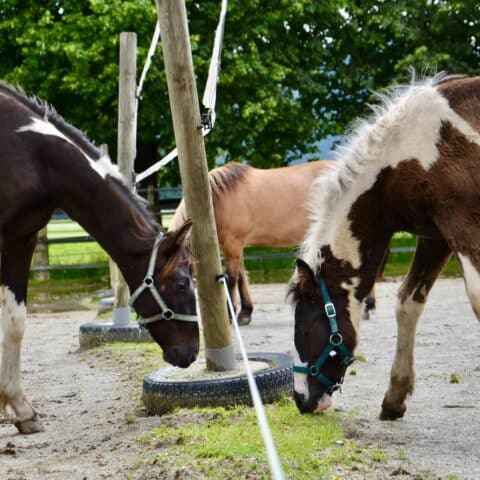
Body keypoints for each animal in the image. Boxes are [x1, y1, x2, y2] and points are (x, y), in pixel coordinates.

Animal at [0, 84, 199, 434]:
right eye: (180, 284)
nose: (192, 352)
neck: (30, 152)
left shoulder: (20, 238)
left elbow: (15, 321)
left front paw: (21, 409)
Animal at [169, 159, 378, 324]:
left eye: (179, 285)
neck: (218, 198)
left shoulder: (232, 244)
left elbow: (232, 278)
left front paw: (231, 316)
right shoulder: (236, 247)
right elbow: (242, 277)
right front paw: (245, 313)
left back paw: (366, 305)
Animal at [288, 75, 480, 420]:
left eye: (306, 330)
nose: (301, 400)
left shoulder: (462, 225)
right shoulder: (435, 237)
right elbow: (407, 302)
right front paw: (395, 398)